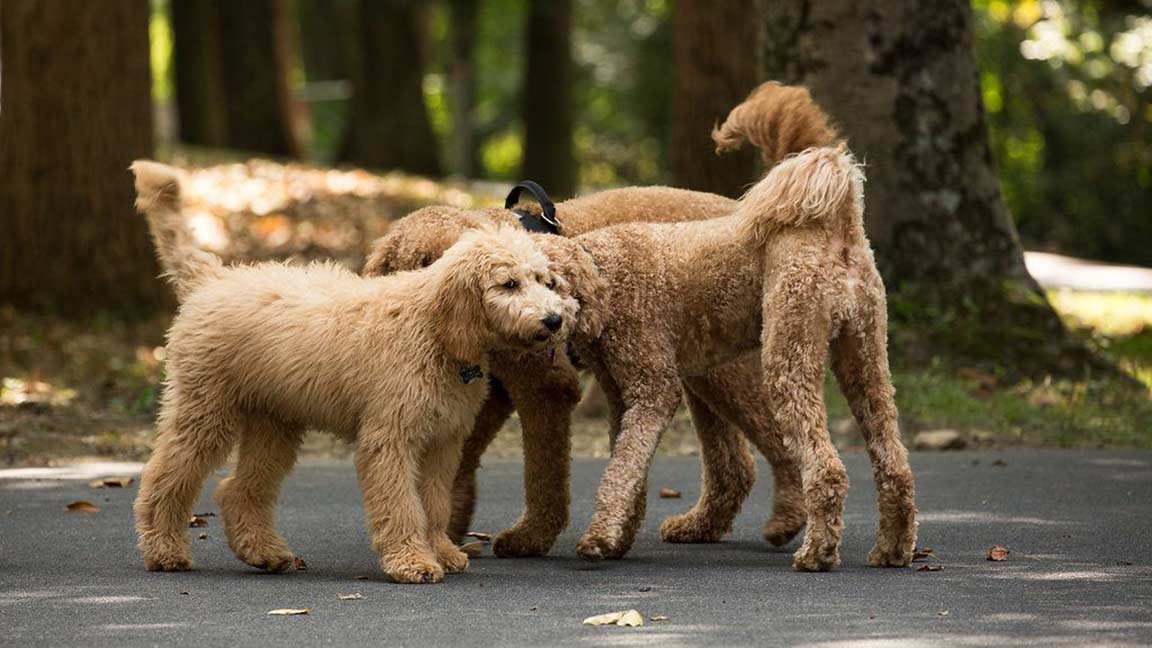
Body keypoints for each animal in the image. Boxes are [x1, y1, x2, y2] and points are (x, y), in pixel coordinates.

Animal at [129, 160, 576, 581]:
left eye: (543, 280)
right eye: (509, 284)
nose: (554, 320)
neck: (434, 329)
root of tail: (214, 280)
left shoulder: (442, 442)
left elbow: (434, 503)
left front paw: (443, 553)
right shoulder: (390, 437)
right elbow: (402, 504)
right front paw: (413, 561)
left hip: (274, 422)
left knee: (238, 490)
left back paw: (264, 552)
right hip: (205, 410)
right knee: (166, 478)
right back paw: (165, 550)